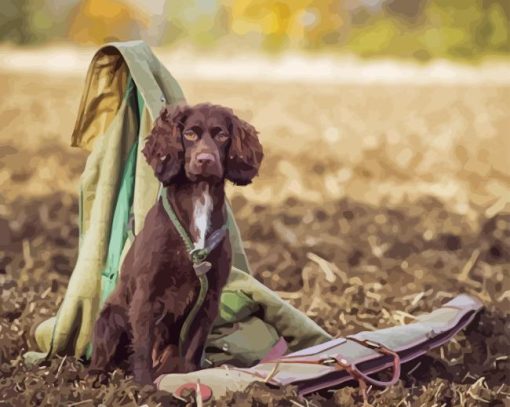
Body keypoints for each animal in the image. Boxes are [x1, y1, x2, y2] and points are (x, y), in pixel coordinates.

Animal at [88, 103, 262, 384]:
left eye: (222, 135)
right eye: (189, 134)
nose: (205, 160)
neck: (199, 196)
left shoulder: (209, 297)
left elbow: (193, 348)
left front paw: (191, 377)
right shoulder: (146, 294)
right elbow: (143, 346)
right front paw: (145, 386)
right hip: (110, 318)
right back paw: (97, 375)